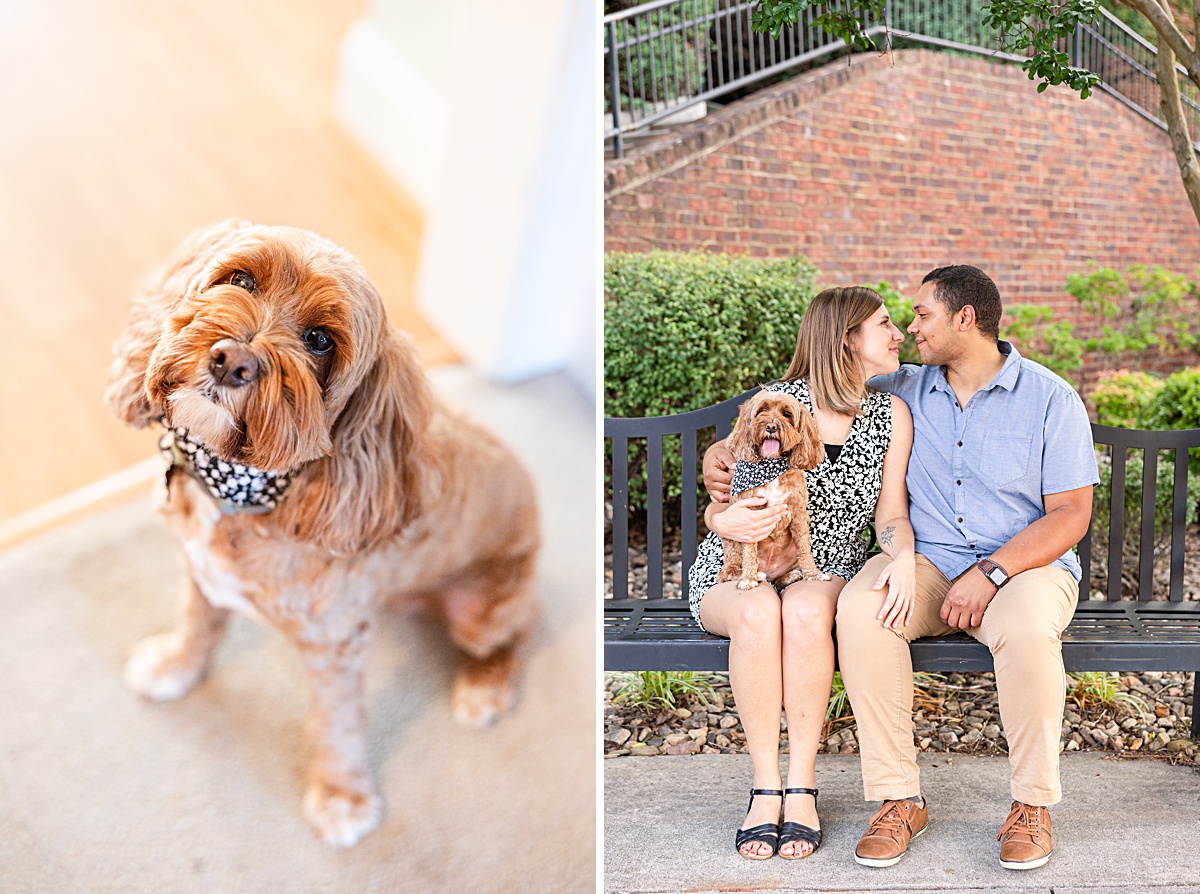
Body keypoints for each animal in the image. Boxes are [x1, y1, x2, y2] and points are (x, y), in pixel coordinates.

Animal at [108, 219, 540, 849]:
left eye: (319, 341)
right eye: (240, 279)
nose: (232, 360)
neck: (242, 489)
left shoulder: (336, 643)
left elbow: (337, 722)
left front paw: (342, 796)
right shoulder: (200, 573)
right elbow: (197, 624)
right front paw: (175, 667)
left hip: (485, 607)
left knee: (516, 635)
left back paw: (484, 688)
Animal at [715, 393, 830, 590]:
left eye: (787, 414)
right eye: (762, 410)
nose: (771, 426)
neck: (770, 466)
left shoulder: (799, 513)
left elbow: (805, 549)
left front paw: (813, 574)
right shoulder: (750, 516)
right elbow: (750, 551)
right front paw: (749, 578)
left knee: (780, 577)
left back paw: (790, 576)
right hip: (732, 544)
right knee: (725, 572)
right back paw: (754, 574)